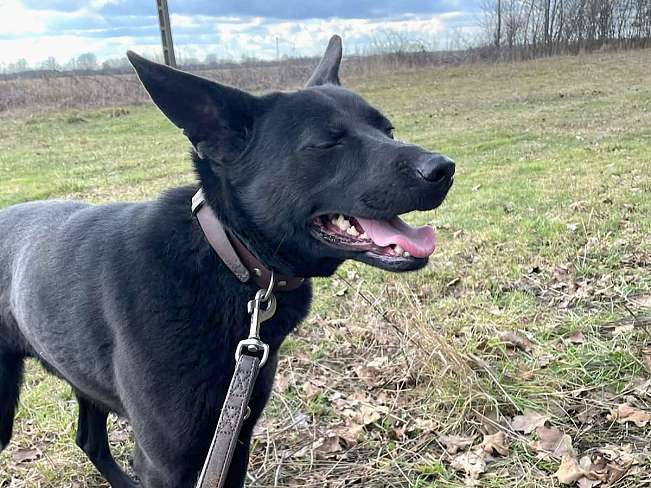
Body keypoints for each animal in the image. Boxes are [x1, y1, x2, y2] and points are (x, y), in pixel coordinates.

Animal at [0, 36, 454, 487]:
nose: (444, 168)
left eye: (387, 130)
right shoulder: (166, 461)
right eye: (327, 143)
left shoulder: (235, 435)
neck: (226, 254)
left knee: (89, 439)